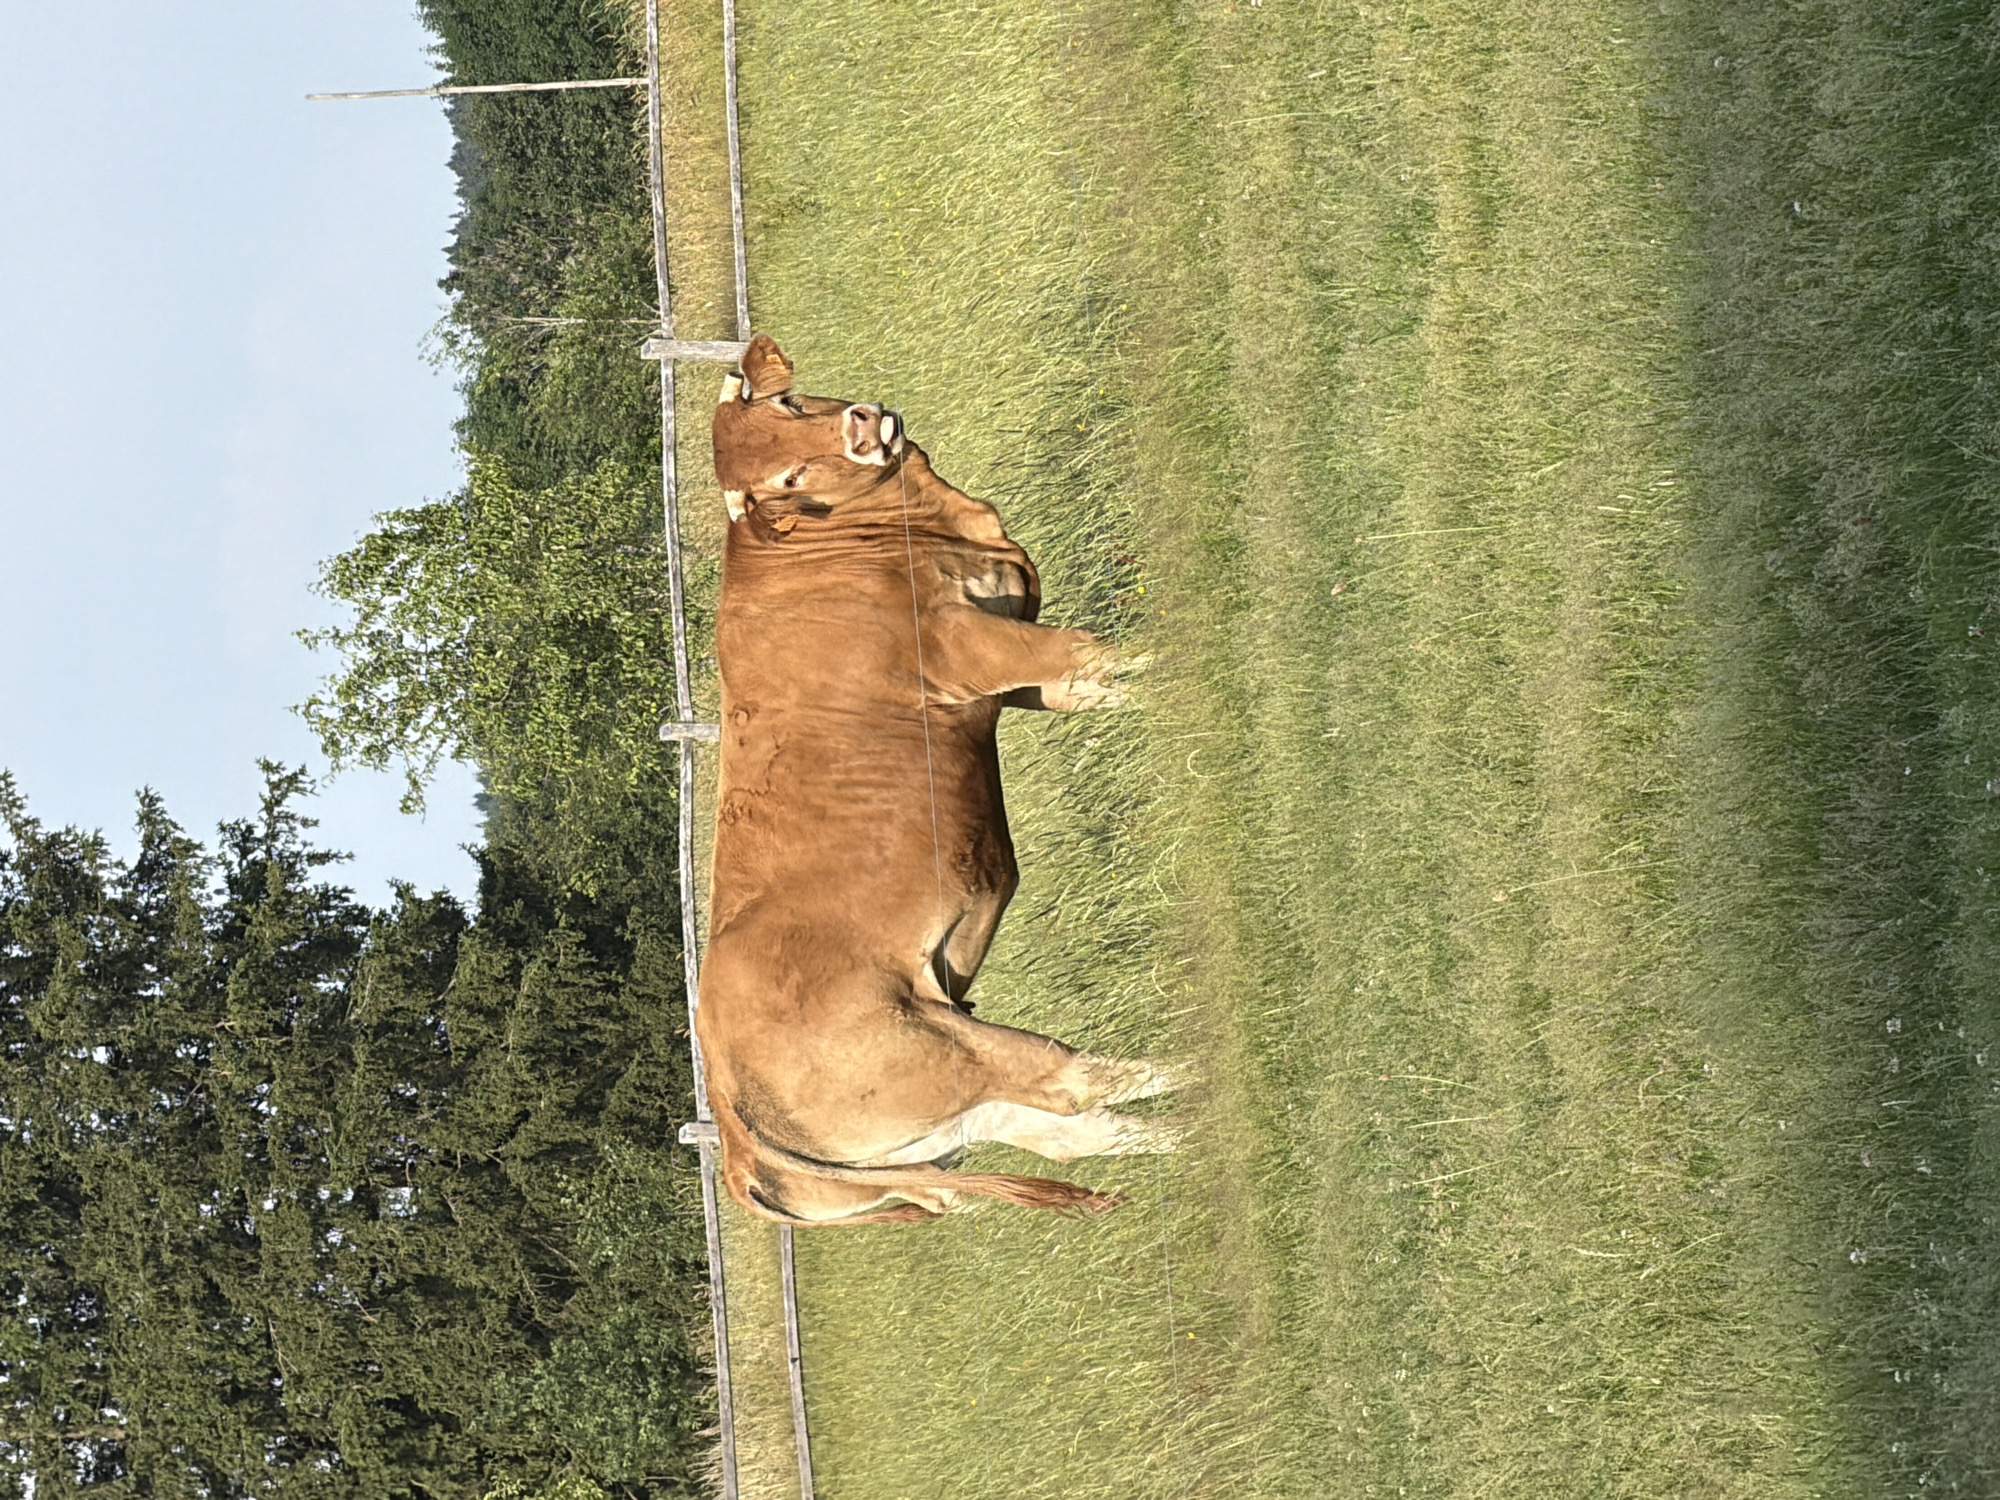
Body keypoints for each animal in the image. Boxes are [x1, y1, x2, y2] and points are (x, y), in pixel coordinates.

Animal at [697, 334, 1182, 1227]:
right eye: (787, 478)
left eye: (788, 406)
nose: (860, 427)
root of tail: (735, 1138)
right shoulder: (976, 646)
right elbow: (1099, 653)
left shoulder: (1017, 677)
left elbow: (1101, 682)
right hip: (943, 1047)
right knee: (1076, 1083)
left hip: (940, 1122)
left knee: (1073, 1130)